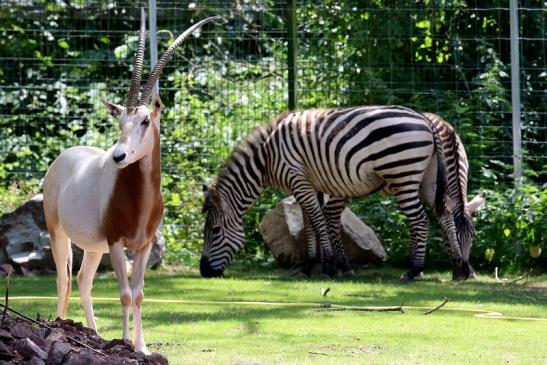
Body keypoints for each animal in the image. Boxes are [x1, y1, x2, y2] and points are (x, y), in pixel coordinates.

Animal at [201, 105, 476, 278]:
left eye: (215, 231)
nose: (204, 272)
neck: (267, 157)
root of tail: (427, 121)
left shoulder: (298, 179)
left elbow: (317, 220)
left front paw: (327, 266)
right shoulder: (308, 184)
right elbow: (309, 223)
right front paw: (310, 265)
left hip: (403, 175)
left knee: (420, 220)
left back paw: (414, 270)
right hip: (428, 180)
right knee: (446, 214)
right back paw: (459, 268)